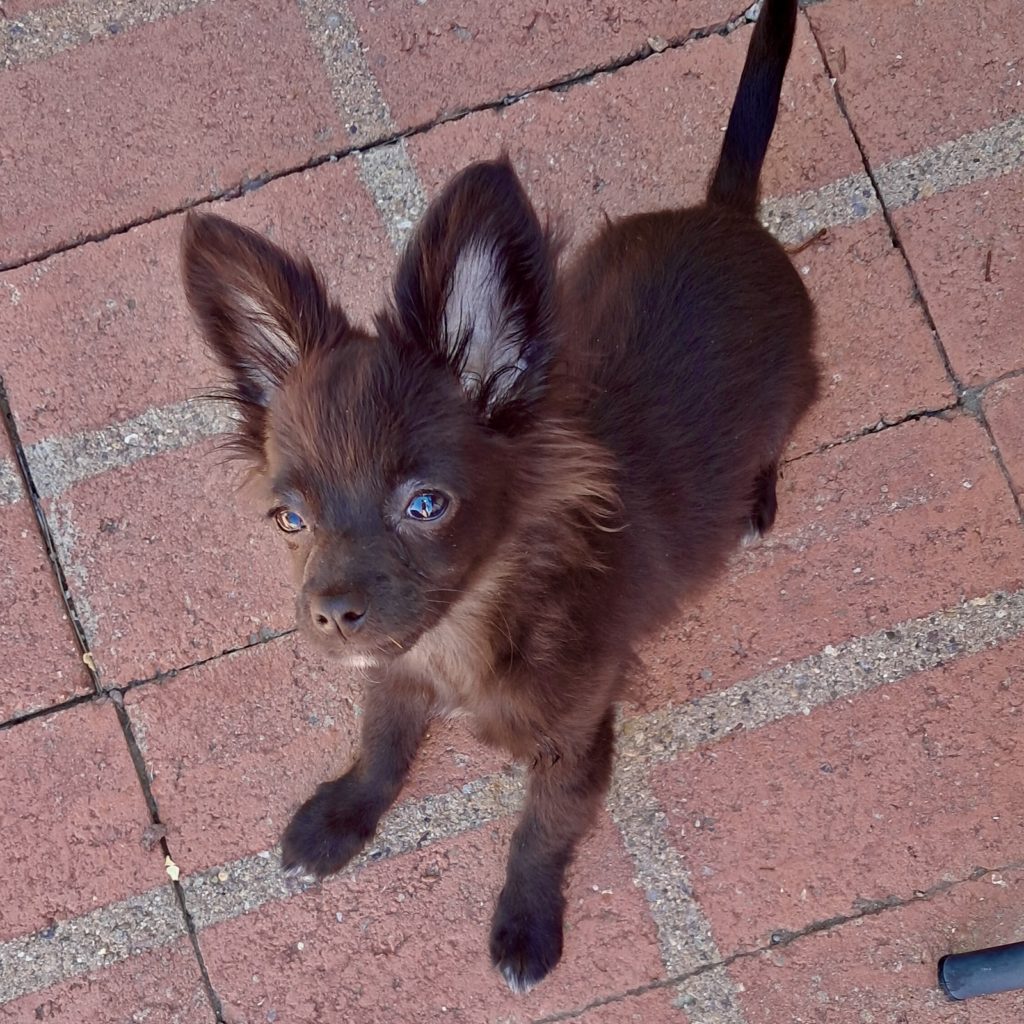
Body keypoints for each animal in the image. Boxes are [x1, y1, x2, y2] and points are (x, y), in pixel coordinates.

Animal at [181, 0, 817, 993]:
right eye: (290, 519)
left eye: (426, 505)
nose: (330, 613)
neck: (463, 633)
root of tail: (729, 214)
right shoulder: (394, 669)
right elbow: (381, 743)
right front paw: (339, 817)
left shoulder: (577, 739)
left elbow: (542, 832)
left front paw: (525, 924)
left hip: (797, 389)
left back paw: (757, 496)